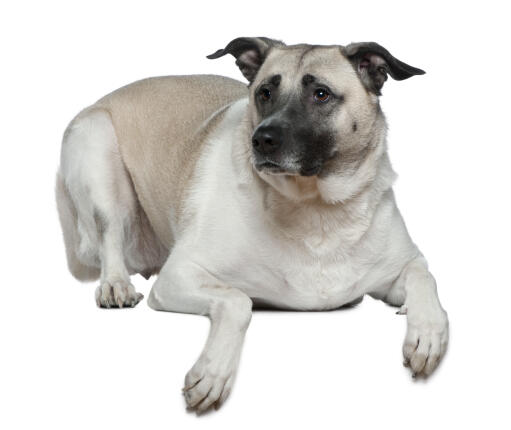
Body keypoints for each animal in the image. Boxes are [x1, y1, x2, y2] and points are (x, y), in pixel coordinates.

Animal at [55, 37, 448, 414]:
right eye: (264, 92)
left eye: (320, 93)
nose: (262, 139)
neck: (315, 209)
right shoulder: (179, 276)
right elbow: (238, 301)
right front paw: (213, 371)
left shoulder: (400, 267)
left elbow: (424, 277)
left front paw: (428, 333)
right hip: (98, 153)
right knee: (110, 234)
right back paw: (116, 284)